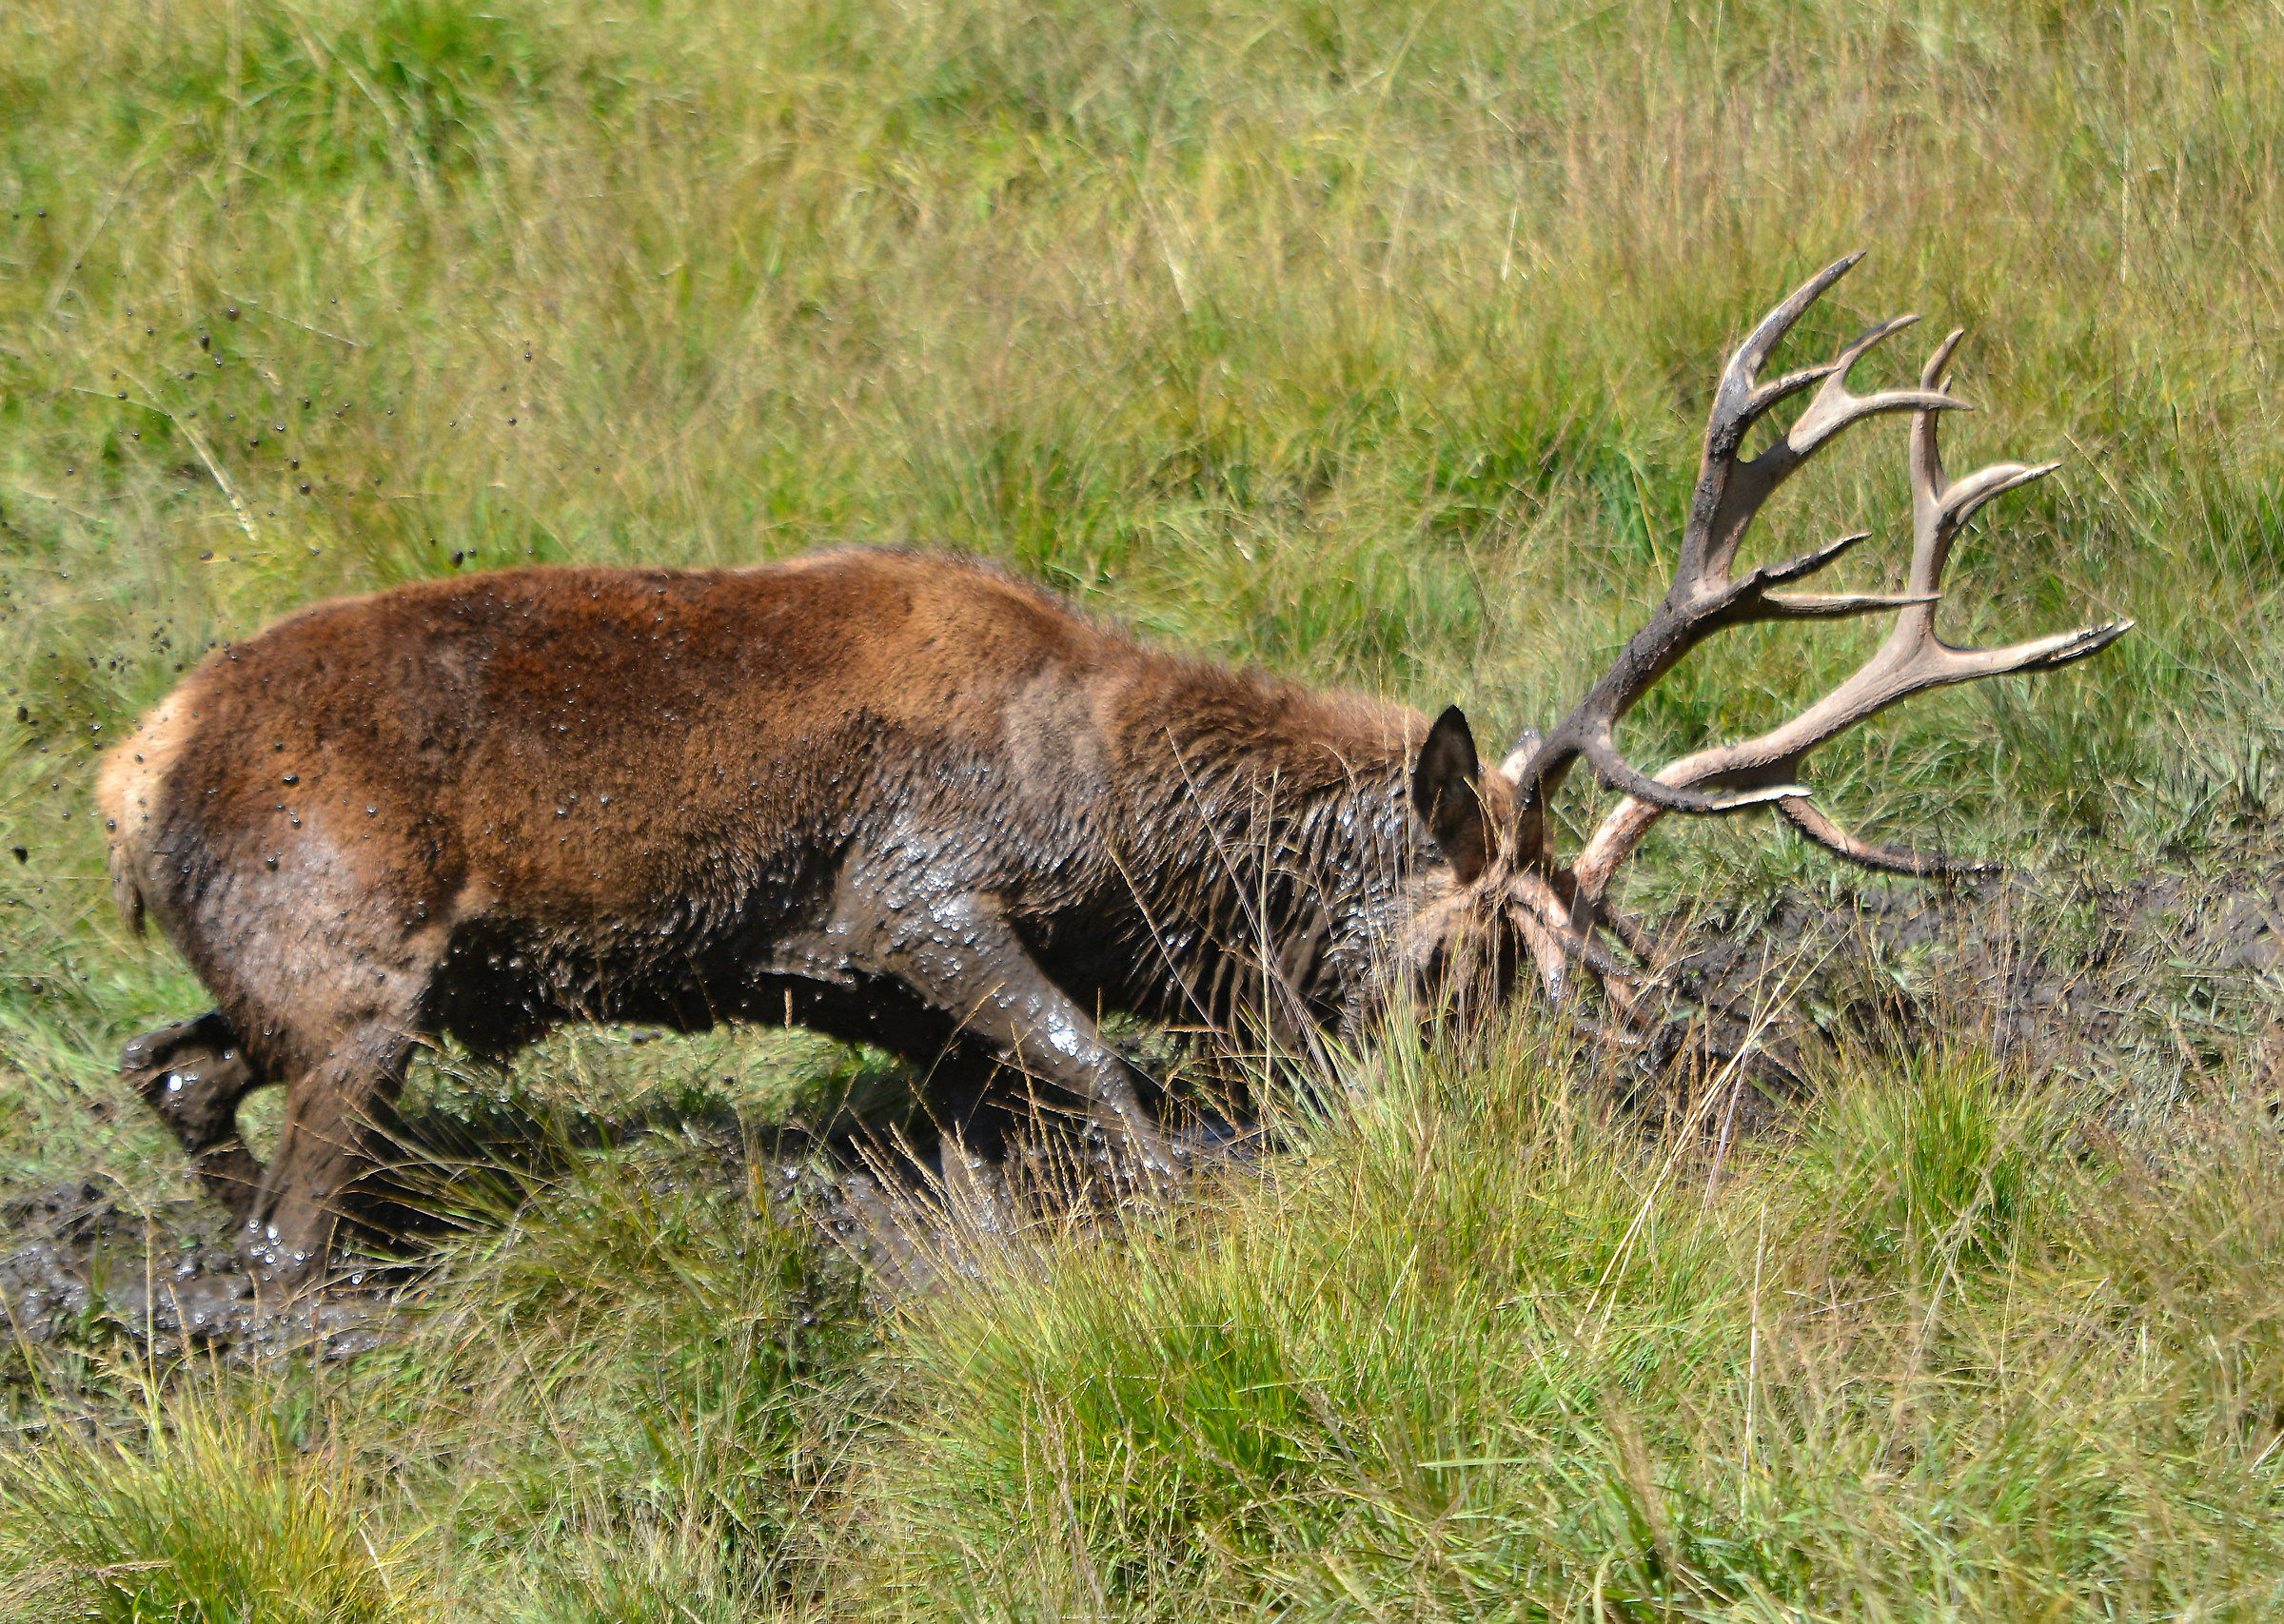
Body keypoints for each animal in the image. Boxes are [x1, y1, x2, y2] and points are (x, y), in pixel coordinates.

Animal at [97, 254, 2129, 1292]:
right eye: (1483, 954)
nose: (1536, 1126)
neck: (1135, 830)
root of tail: (129, 770)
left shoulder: (877, 989)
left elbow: (1006, 1104)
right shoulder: (907, 891)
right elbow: (1092, 1061)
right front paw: (1186, 1191)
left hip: (299, 975)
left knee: (174, 1069)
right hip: (352, 962)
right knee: (282, 1210)